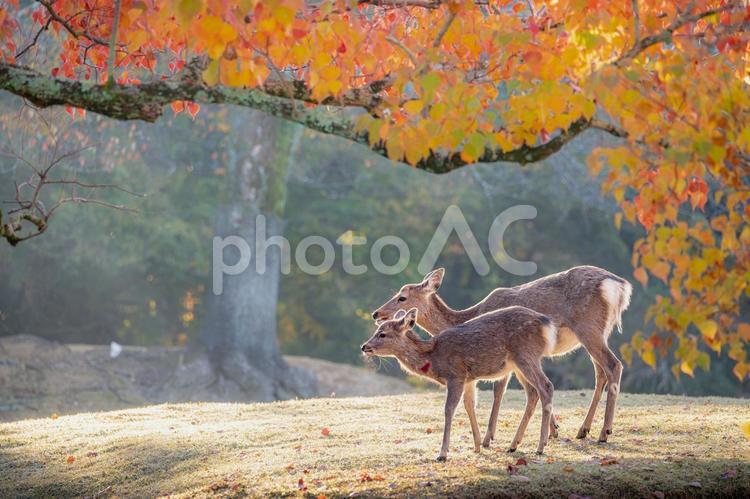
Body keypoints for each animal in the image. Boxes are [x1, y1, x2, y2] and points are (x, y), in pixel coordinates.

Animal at [361, 306, 557, 460]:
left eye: (382, 334)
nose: (364, 346)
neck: (433, 358)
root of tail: (547, 324)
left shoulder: (455, 375)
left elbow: (449, 409)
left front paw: (442, 453)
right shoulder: (469, 378)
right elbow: (469, 405)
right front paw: (476, 446)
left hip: (525, 354)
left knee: (546, 386)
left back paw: (540, 447)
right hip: (518, 364)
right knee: (533, 392)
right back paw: (513, 445)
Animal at [371, 265, 632, 445]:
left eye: (402, 297)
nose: (376, 313)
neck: (468, 315)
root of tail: (620, 286)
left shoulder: (504, 354)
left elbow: (499, 390)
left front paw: (489, 438)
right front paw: (554, 430)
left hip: (588, 328)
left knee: (613, 365)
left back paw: (604, 432)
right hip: (598, 332)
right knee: (600, 373)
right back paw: (583, 430)